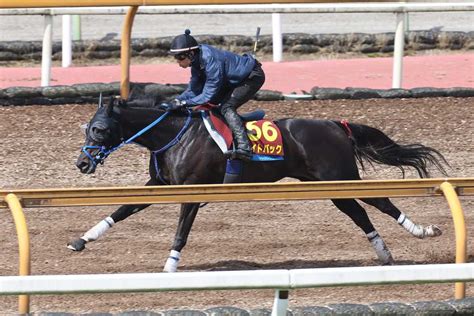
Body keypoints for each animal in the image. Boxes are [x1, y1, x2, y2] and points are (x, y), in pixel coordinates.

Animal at [69, 94, 448, 272]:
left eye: (99, 129)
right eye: (86, 128)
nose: (82, 163)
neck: (174, 134)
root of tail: (335, 124)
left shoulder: (193, 189)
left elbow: (181, 232)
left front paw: (169, 267)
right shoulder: (160, 184)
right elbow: (123, 208)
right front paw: (82, 239)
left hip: (339, 176)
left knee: (380, 202)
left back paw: (423, 231)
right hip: (328, 185)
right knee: (359, 214)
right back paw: (383, 253)